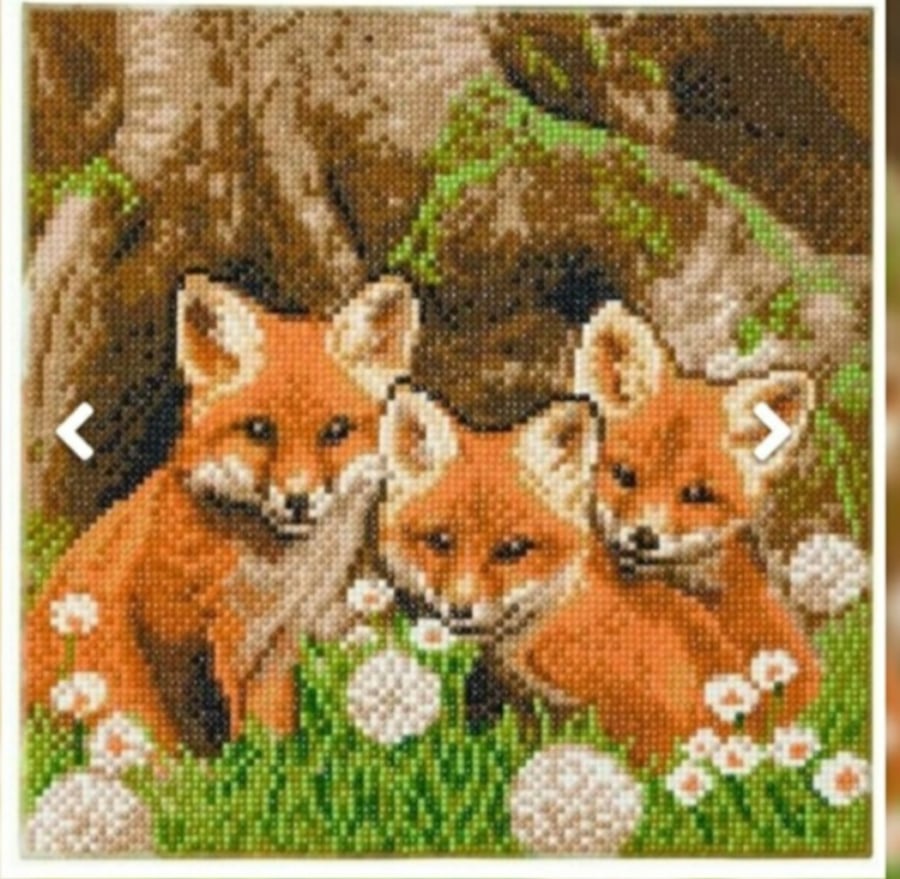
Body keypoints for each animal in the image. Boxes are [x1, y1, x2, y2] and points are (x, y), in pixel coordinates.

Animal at [25, 272, 419, 751]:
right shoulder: (169, 626)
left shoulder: (279, 650)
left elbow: (269, 733)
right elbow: (192, 736)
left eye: (336, 430)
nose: (298, 499)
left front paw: (271, 762)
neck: (269, 580)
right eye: (259, 429)